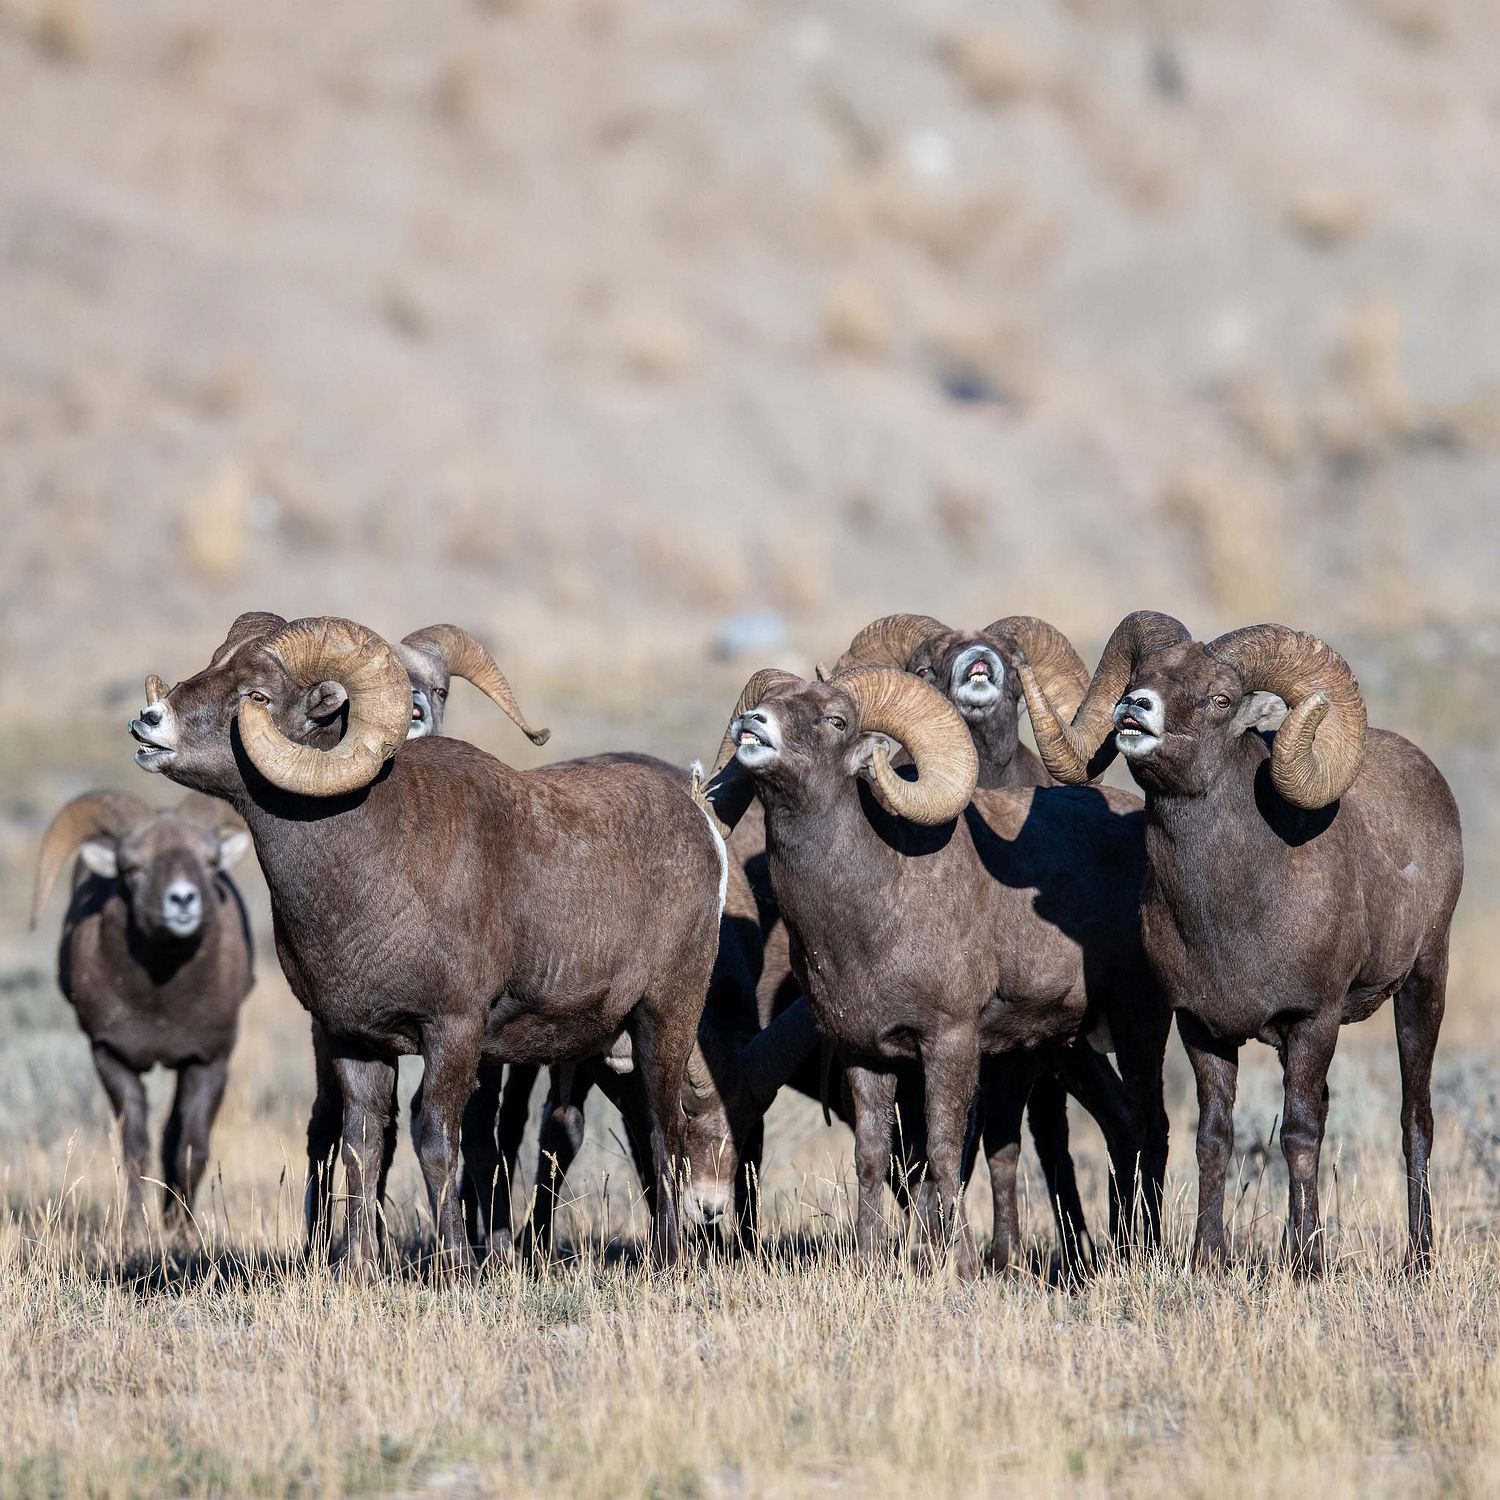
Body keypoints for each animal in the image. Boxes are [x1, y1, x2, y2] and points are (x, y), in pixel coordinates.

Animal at [30, 790, 253, 1230]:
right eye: (133, 867)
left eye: (210, 862)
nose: (182, 900)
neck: (161, 1000)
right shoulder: (112, 1057)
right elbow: (135, 1148)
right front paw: (134, 1229)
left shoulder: (208, 1061)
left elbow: (191, 1148)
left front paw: (181, 1232)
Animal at [130, 613, 724, 1273]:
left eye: (255, 695)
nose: (149, 721)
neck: (369, 862)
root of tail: (700, 821)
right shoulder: (355, 1041)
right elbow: (365, 1145)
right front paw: (359, 1265)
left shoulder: (454, 1032)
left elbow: (438, 1141)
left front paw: (458, 1265)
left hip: (664, 1019)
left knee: (665, 1132)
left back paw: (672, 1258)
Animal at [701, 661, 1170, 1274]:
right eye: (773, 700)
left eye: (836, 720)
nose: (753, 724)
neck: (874, 903)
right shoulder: (864, 1054)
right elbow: (873, 1157)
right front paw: (868, 1259)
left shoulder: (950, 1042)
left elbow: (945, 1155)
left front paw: (961, 1264)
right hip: (1066, 1047)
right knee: (1121, 1124)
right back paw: (1116, 1253)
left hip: (1140, 1025)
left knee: (1150, 1128)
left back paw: (1146, 1252)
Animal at [1012, 612, 1464, 1272]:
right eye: (1143, 675)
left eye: (1220, 699)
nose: (1133, 709)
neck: (1234, 913)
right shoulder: (1203, 1030)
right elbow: (1214, 1137)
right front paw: (1209, 1256)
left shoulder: (1312, 1021)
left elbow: (1300, 1135)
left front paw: (1307, 1265)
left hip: (1424, 985)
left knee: (1415, 1119)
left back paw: (1420, 1257)